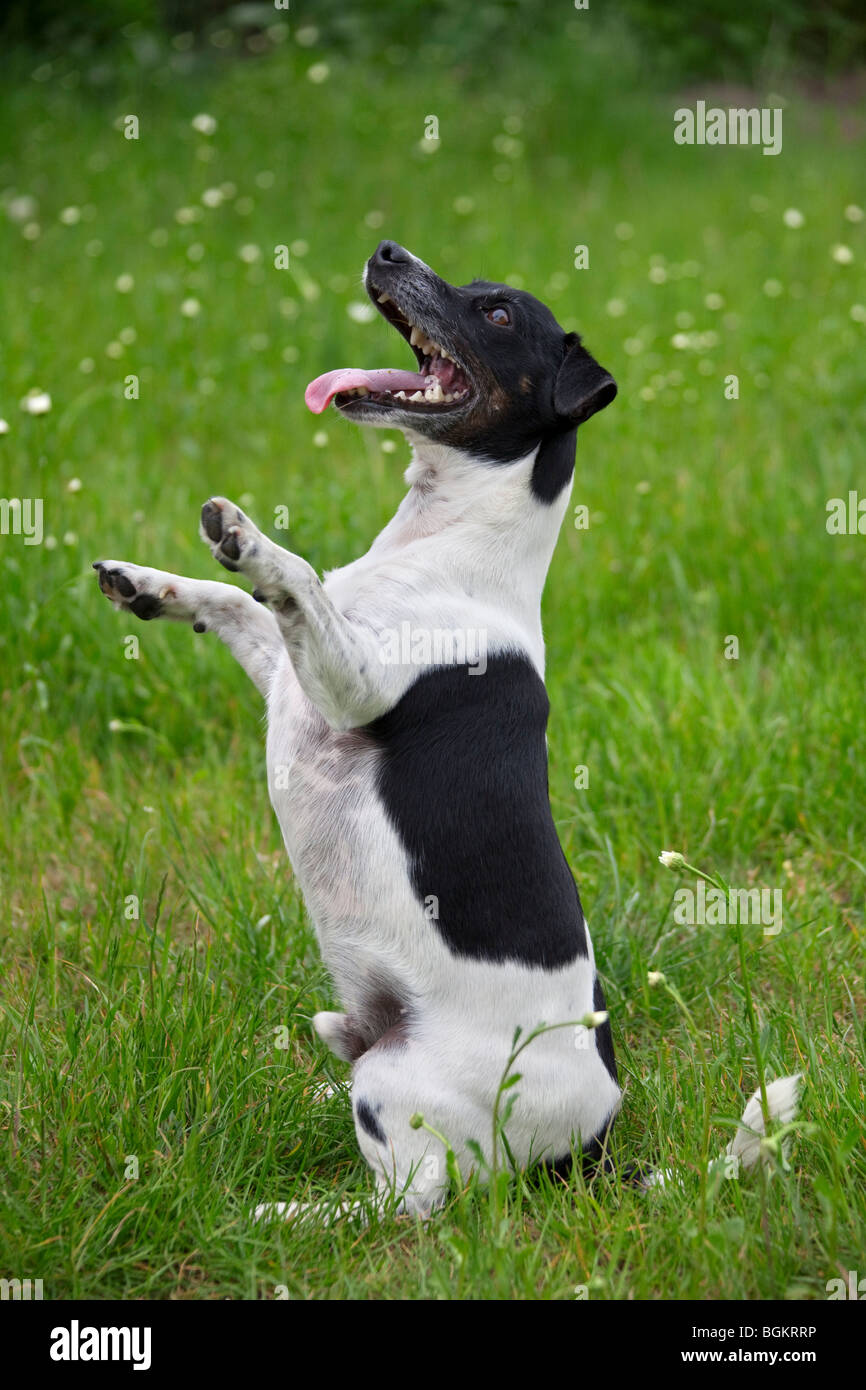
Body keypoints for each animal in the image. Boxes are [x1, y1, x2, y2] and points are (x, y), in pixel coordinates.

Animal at [93, 244, 800, 1223]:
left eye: (497, 314)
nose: (387, 251)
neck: (444, 542)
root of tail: (590, 1152)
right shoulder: (291, 679)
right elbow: (239, 606)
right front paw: (149, 585)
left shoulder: (351, 684)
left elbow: (290, 577)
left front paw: (250, 538)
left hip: (398, 1084)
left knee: (410, 1201)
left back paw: (281, 1216)